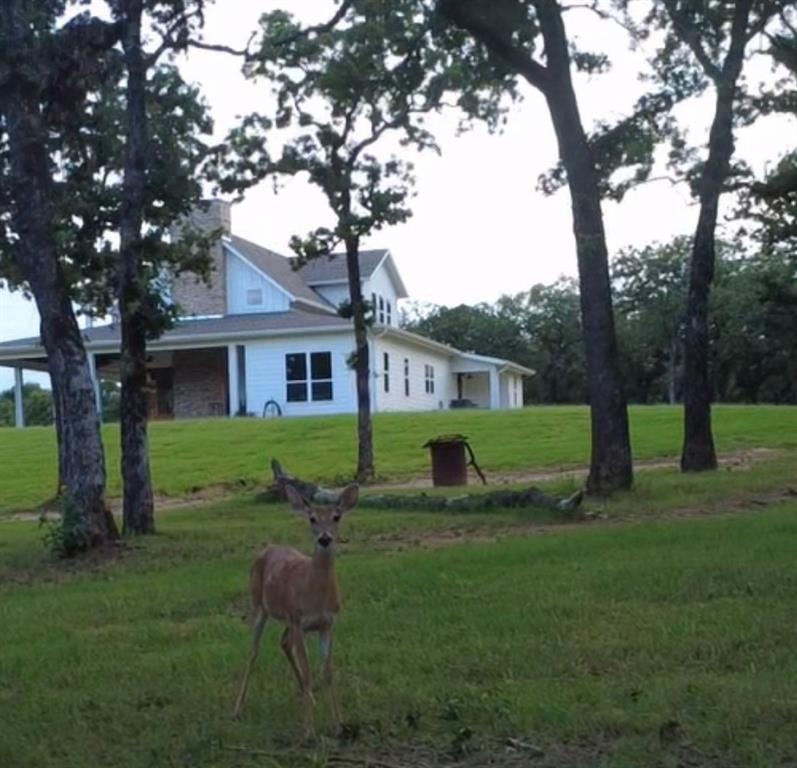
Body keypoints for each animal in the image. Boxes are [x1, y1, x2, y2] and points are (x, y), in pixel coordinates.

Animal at [233, 482, 359, 739]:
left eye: (337, 516)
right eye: (312, 518)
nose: (325, 538)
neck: (316, 595)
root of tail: (266, 549)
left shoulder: (327, 624)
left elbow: (327, 671)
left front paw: (338, 724)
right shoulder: (299, 621)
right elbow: (309, 670)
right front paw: (310, 731)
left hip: (287, 620)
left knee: (283, 643)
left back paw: (307, 696)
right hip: (260, 607)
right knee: (253, 651)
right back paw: (237, 709)